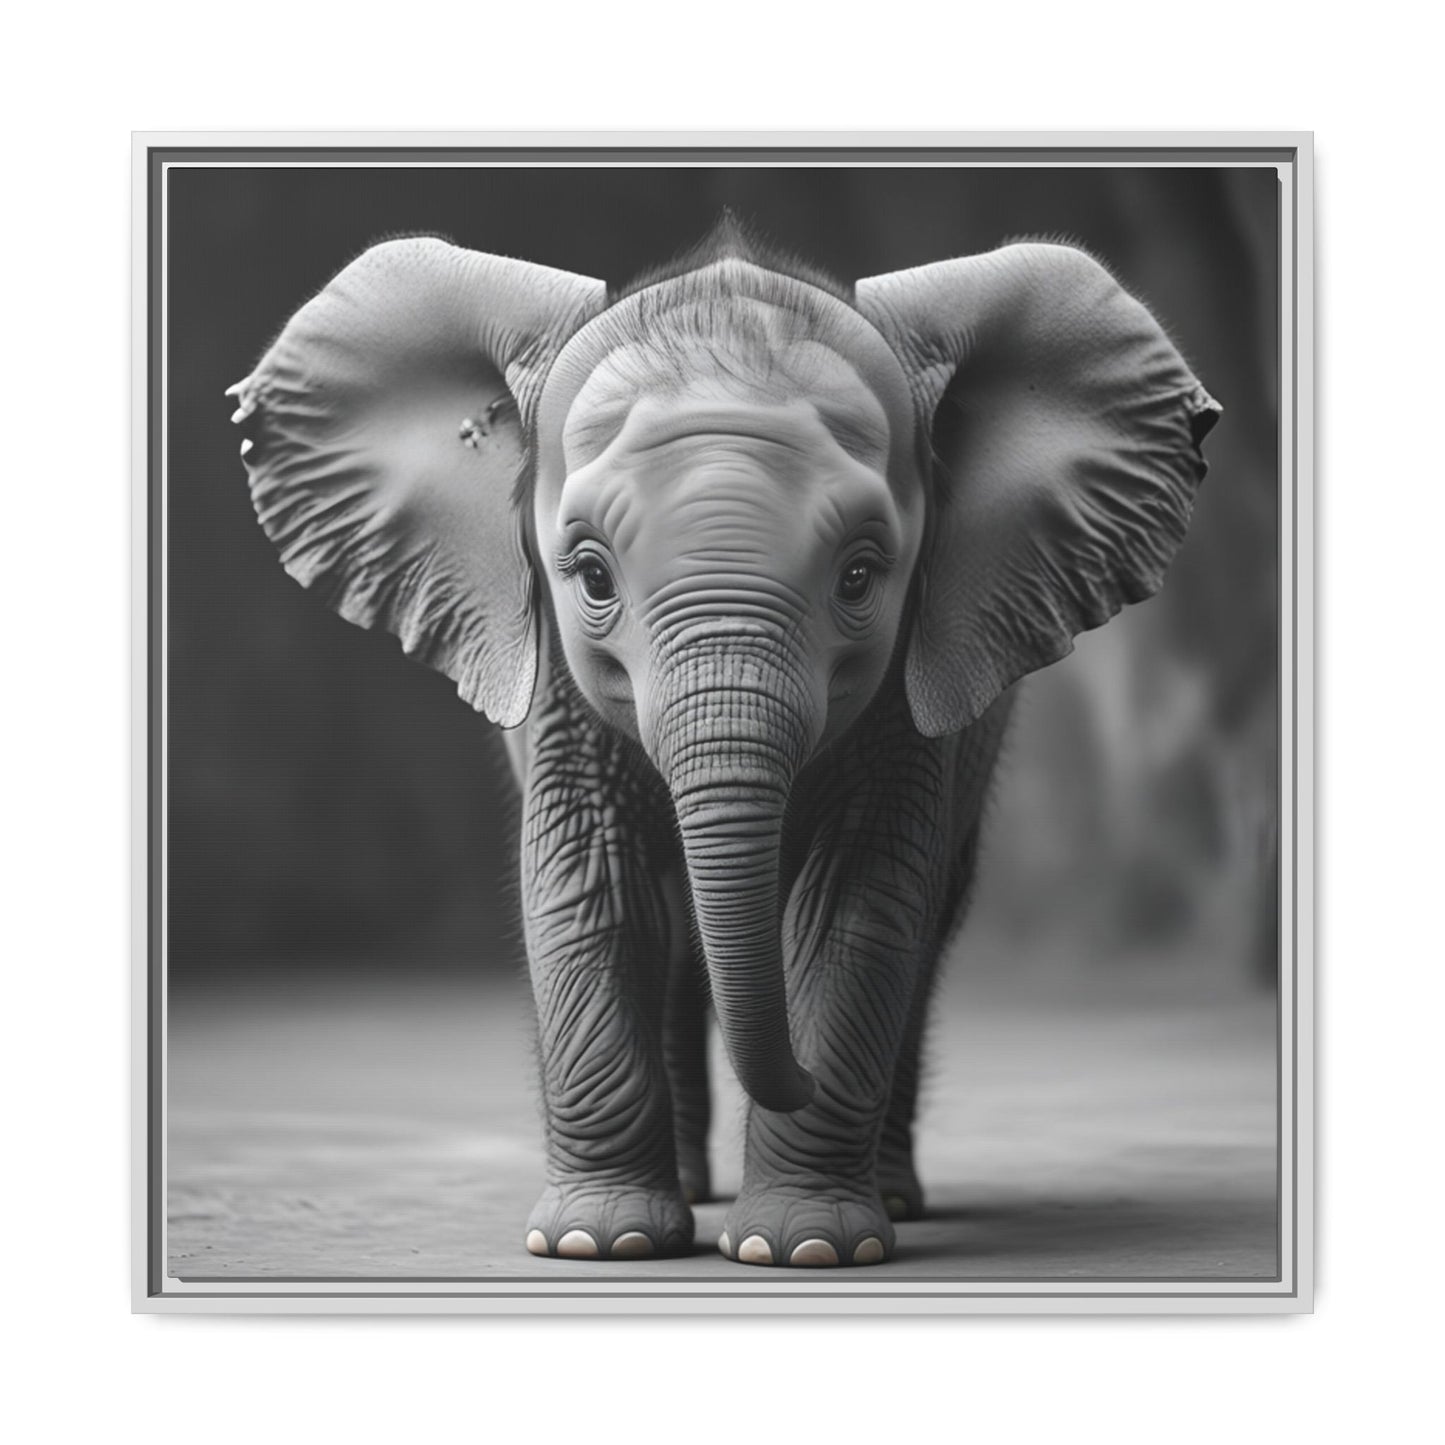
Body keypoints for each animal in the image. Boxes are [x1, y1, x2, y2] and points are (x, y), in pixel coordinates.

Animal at [228, 216, 1219, 1268]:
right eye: (589, 574)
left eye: (861, 575)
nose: (798, 1079)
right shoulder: (556, 682)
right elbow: (593, 881)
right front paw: (597, 1243)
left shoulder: (908, 680)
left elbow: (858, 899)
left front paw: (806, 1249)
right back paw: (691, 1195)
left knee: (921, 925)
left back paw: (888, 1196)